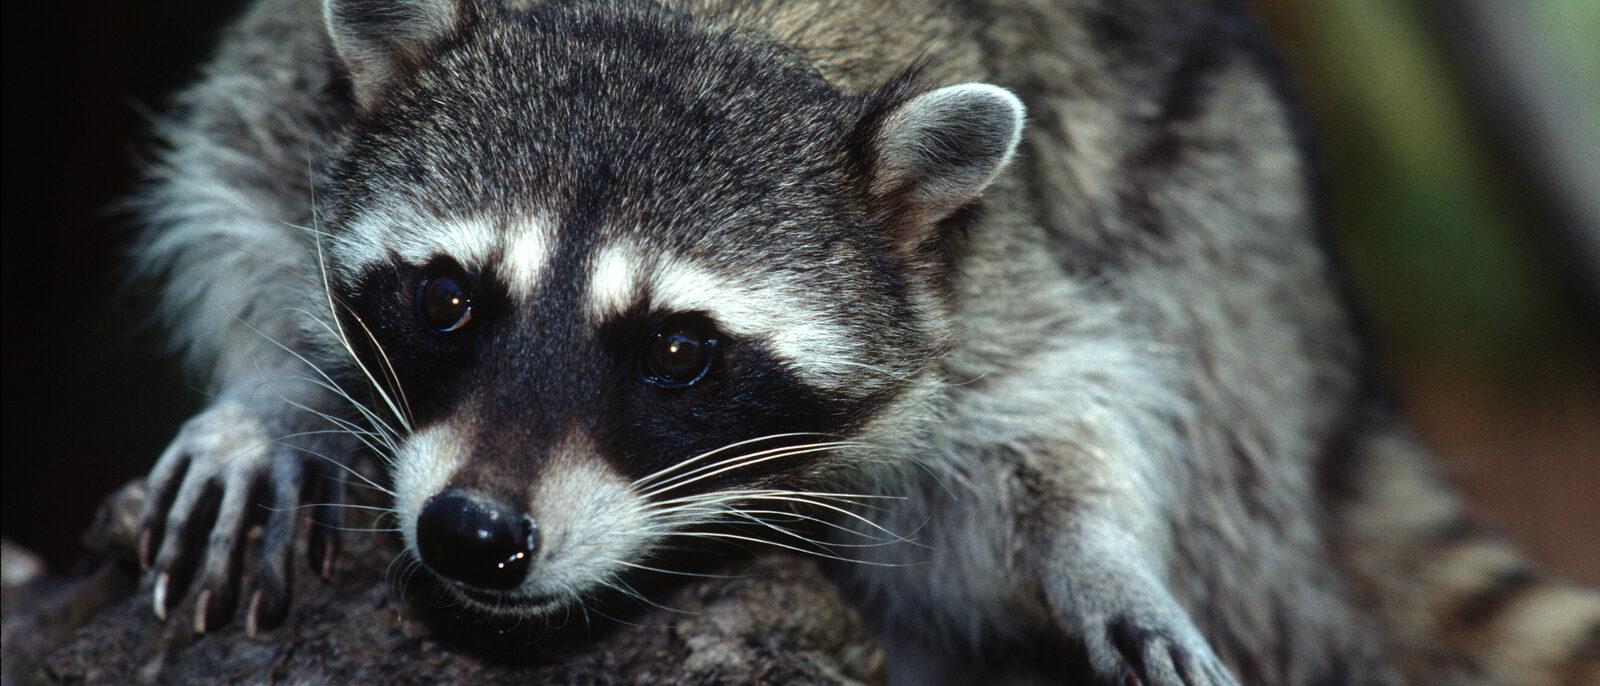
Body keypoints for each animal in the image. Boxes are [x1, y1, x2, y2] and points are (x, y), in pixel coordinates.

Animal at [129, 0, 1600, 683]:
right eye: (446, 300)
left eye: (678, 352)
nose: (474, 532)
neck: (700, 25)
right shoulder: (300, 82)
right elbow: (235, 182)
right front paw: (269, 393)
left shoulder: (975, 265)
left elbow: (1062, 401)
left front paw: (1100, 551)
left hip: (1226, 228)